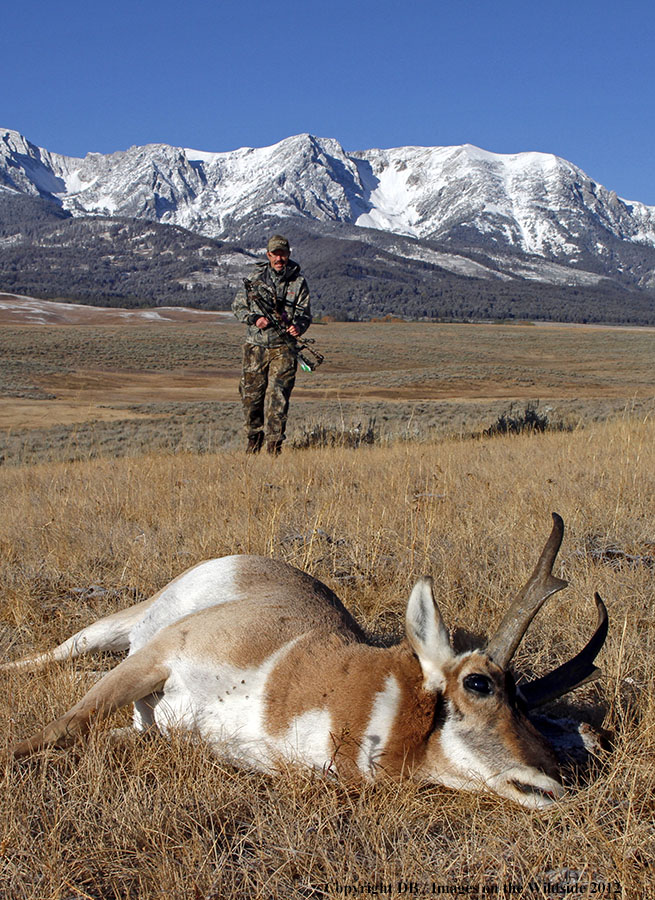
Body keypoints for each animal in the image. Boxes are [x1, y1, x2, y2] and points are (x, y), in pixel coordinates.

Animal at [6, 512, 608, 808]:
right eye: (480, 683)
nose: (557, 783)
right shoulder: (159, 657)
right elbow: (65, 724)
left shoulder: (153, 732)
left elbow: (92, 732)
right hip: (125, 627)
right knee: (58, 654)